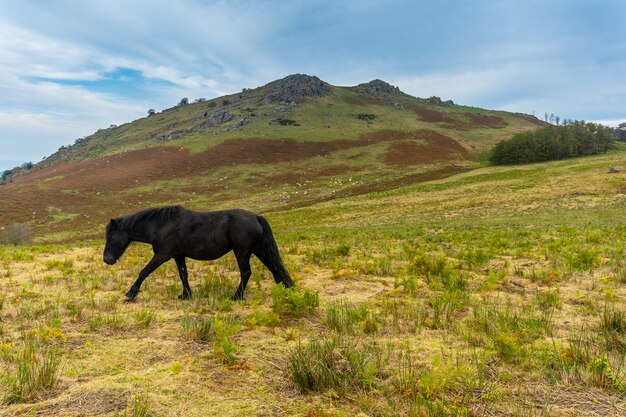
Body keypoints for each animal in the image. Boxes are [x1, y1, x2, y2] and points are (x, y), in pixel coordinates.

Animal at [103, 206, 294, 300]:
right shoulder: (178, 255)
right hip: (258, 249)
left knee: (246, 272)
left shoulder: (163, 255)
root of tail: (255, 216)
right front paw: (185, 295)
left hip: (242, 251)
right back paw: (286, 288)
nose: (106, 259)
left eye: (110, 236)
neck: (161, 225)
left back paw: (236, 296)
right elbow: (183, 275)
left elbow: (144, 272)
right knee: (274, 267)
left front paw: (130, 294)